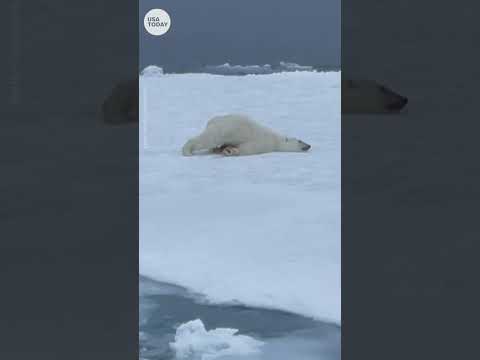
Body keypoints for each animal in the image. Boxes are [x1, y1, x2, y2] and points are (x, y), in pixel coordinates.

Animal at [181, 114, 312, 156]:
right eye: (300, 140)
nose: (309, 145)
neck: (276, 140)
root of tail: (213, 120)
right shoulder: (263, 143)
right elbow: (247, 149)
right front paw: (230, 150)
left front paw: (226, 149)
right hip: (224, 129)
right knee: (208, 139)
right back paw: (187, 151)